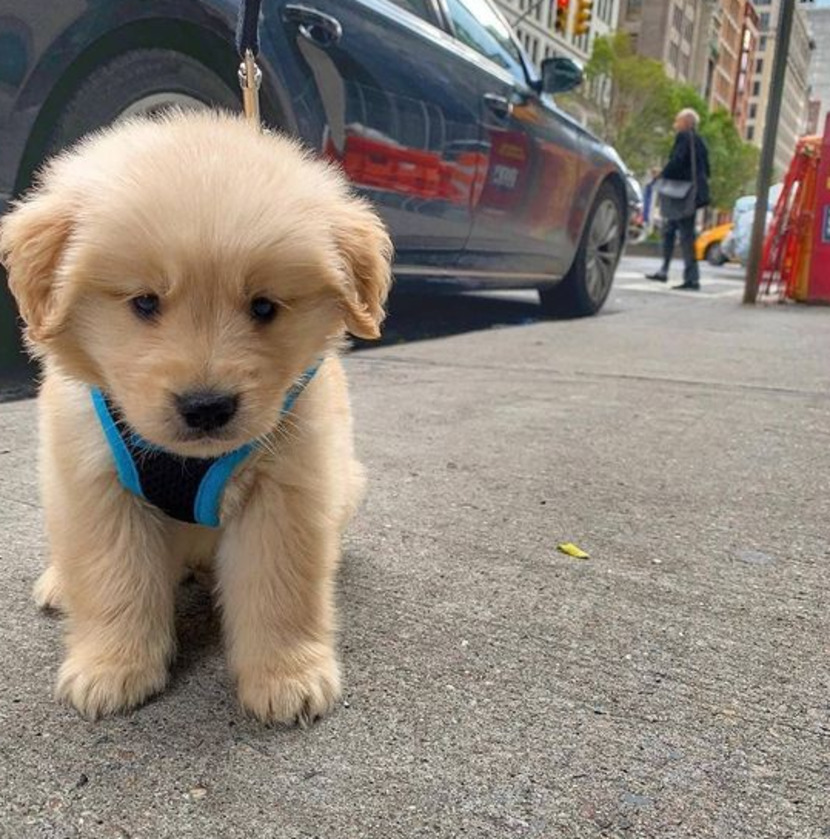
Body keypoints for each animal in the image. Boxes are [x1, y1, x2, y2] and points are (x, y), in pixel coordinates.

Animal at [0, 110, 392, 724]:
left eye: (264, 307)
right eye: (144, 302)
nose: (207, 407)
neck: (188, 462)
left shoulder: (289, 488)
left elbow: (280, 587)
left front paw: (287, 674)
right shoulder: (95, 483)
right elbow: (112, 578)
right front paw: (111, 666)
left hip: (348, 480)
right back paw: (61, 584)